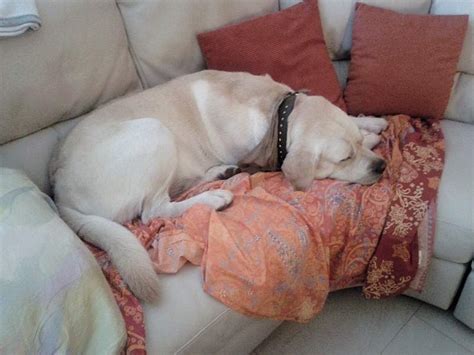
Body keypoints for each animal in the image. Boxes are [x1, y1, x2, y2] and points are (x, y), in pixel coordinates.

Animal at [50, 70, 386, 304]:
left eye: (355, 145)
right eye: (344, 158)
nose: (381, 166)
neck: (276, 113)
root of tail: (58, 191)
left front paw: (370, 124)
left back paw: (220, 173)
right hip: (153, 131)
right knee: (153, 211)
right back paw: (215, 197)